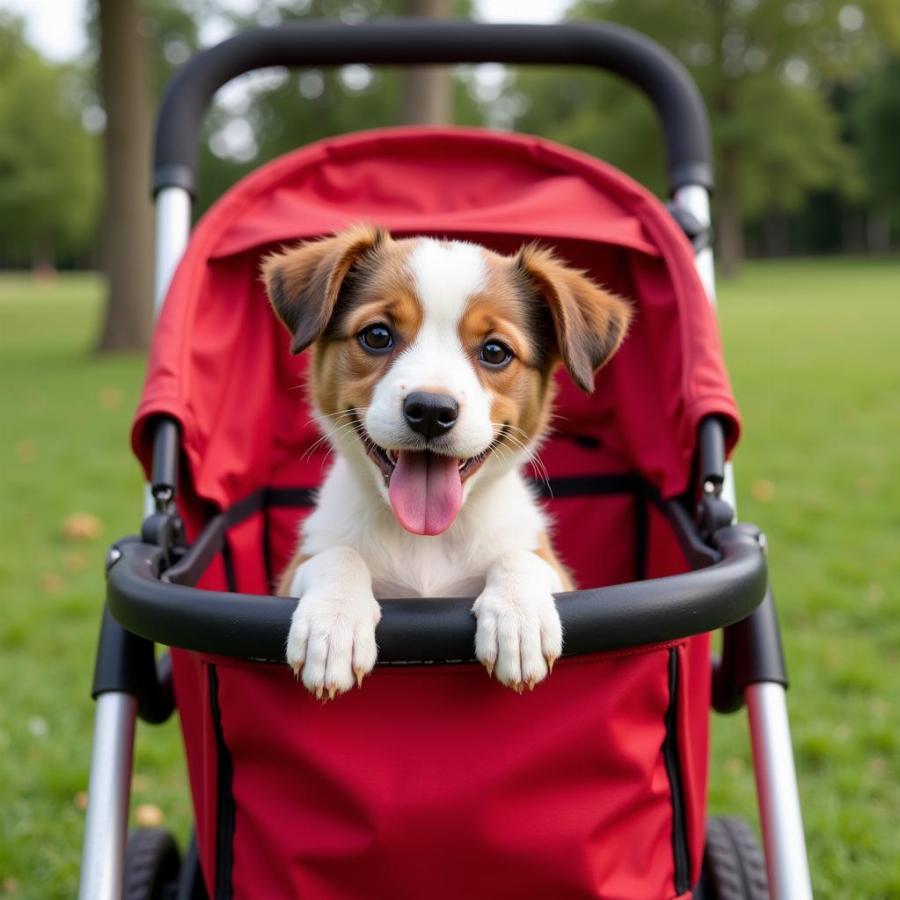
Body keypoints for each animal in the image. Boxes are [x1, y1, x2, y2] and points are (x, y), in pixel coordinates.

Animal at [266, 223, 632, 696]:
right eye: (377, 335)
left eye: (495, 351)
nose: (430, 411)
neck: (428, 541)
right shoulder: (293, 573)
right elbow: (336, 554)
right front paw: (332, 623)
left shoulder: (554, 569)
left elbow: (521, 557)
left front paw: (519, 617)